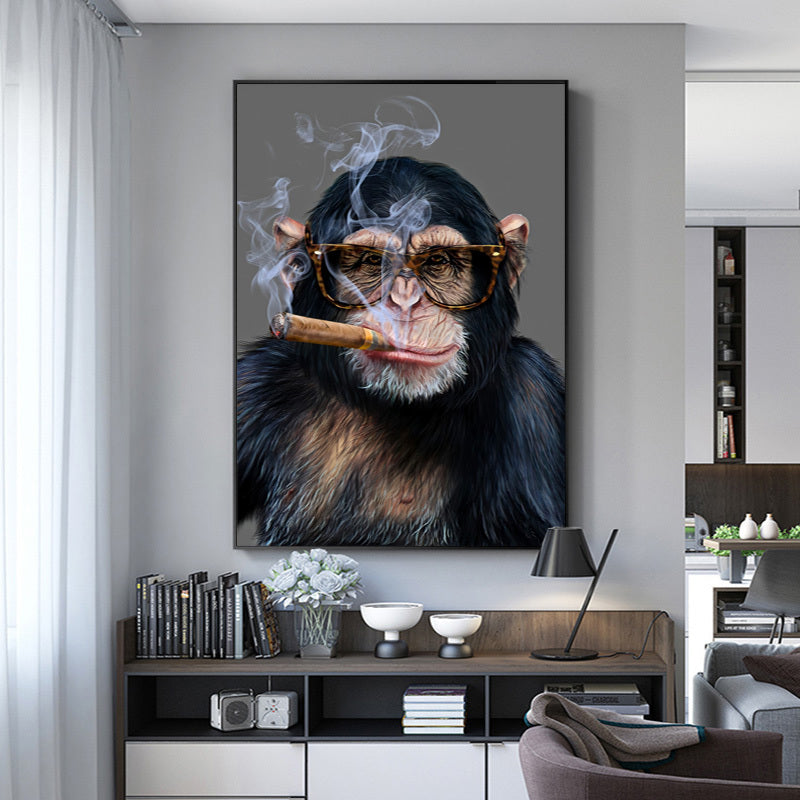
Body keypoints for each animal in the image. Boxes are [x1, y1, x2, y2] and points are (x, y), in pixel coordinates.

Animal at [237, 156, 564, 547]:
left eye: (439, 260)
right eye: (368, 261)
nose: (405, 302)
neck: (398, 409)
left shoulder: (532, 395)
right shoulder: (253, 383)